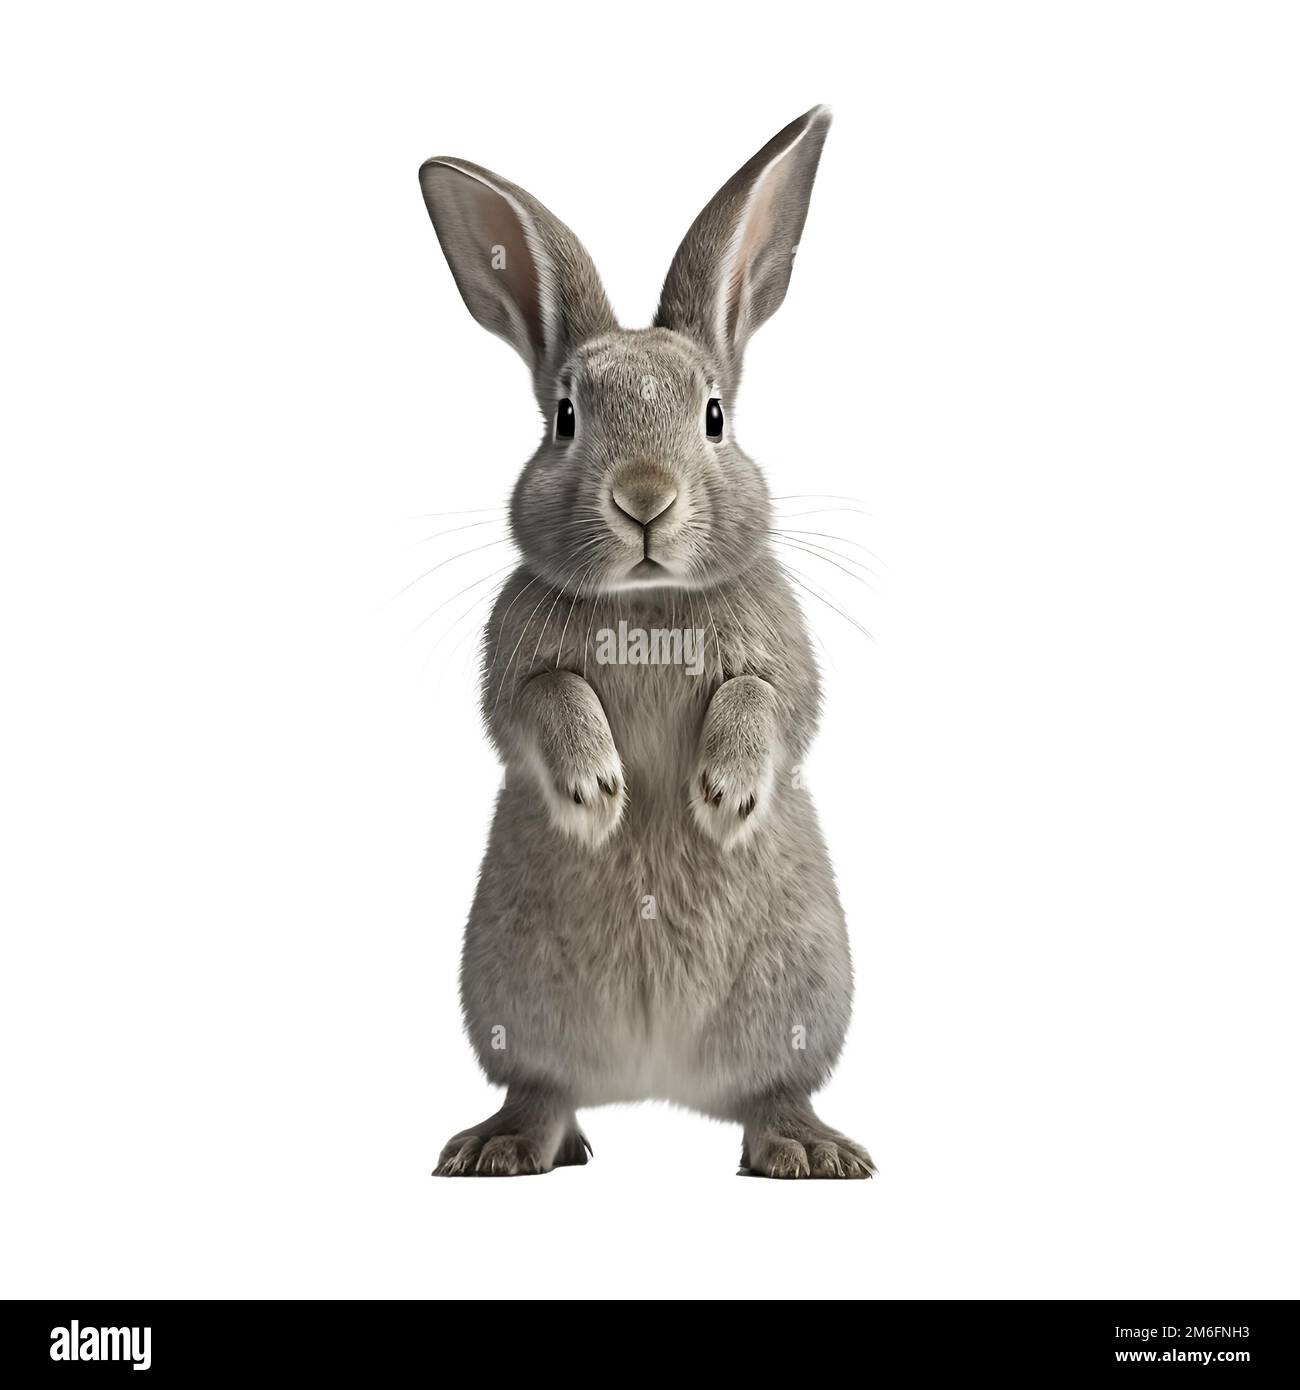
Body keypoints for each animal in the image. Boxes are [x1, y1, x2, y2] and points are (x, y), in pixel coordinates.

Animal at [419, 106, 874, 1179]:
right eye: (564, 416)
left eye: (713, 416)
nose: (644, 500)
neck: (650, 602)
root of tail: (655, 1080)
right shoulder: (518, 667)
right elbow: (544, 700)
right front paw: (596, 791)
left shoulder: (780, 659)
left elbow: (767, 699)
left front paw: (725, 793)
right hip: (513, 998)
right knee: (542, 1090)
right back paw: (504, 1148)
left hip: (801, 990)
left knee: (772, 1091)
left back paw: (806, 1150)